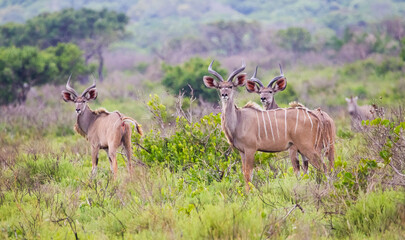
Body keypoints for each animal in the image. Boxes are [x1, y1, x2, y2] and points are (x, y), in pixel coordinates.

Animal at [202, 60, 326, 191]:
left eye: (231, 86)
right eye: (219, 87)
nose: (224, 94)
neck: (238, 120)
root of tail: (314, 117)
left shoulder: (250, 149)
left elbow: (248, 174)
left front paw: (249, 194)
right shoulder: (242, 151)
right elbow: (244, 173)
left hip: (306, 147)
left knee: (322, 167)